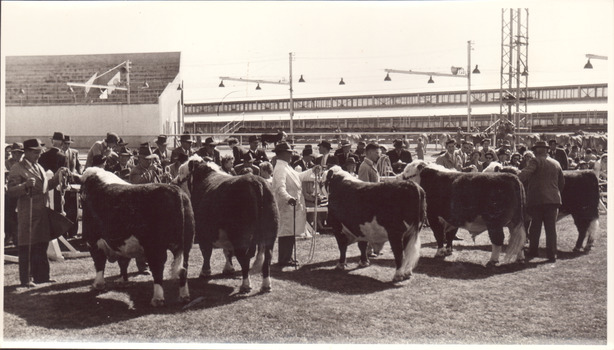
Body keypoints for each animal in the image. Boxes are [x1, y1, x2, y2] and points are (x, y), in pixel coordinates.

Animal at [79, 167, 195, 306]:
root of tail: (175, 190)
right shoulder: (122, 243)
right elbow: (123, 262)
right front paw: (122, 281)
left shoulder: (93, 241)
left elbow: (99, 263)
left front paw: (98, 284)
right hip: (186, 244)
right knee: (184, 268)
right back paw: (184, 296)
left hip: (155, 247)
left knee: (158, 267)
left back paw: (157, 298)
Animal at [184, 160, 278, 294]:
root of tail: (255, 181)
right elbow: (227, 251)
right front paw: (228, 268)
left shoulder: (204, 232)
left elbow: (206, 252)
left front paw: (205, 272)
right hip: (270, 232)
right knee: (267, 257)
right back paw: (266, 285)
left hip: (240, 236)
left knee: (244, 258)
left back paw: (245, 285)